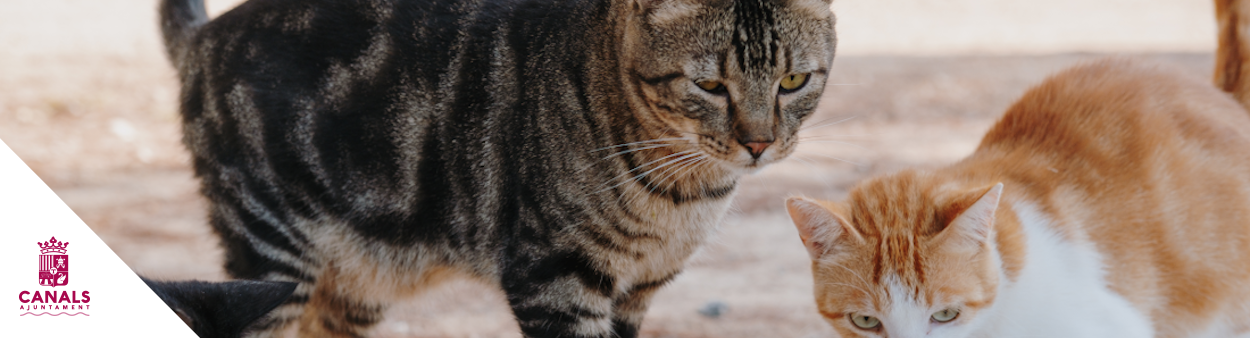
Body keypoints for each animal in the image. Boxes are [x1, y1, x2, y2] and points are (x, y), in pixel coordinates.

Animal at [158, 0, 840, 335]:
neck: (682, 190)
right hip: (271, 259)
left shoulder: (637, 291)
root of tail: (204, 38)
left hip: (359, 279)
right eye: (709, 85)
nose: (758, 144)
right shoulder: (556, 279)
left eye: (793, 82)